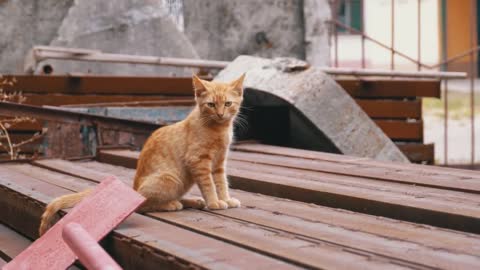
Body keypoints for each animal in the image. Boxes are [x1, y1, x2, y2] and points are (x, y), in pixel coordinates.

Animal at [38, 74, 244, 236]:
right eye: (211, 104)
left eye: (228, 104)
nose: (220, 114)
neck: (218, 129)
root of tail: (134, 190)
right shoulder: (198, 161)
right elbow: (209, 185)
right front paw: (214, 202)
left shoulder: (219, 162)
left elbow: (221, 182)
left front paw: (225, 199)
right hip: (170, 178)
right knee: (145, 204)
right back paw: (172, 204)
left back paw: (191, 201)